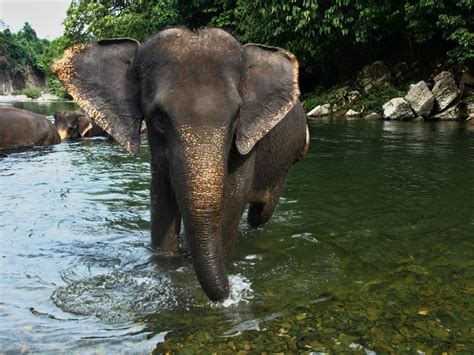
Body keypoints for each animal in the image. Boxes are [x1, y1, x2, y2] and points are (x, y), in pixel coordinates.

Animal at [52, 27, 312, 304]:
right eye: (158, 117)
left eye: (236, 117)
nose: (229, 294)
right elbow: (162, 202)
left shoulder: (246, 146)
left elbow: (232, 203)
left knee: (260, 215)